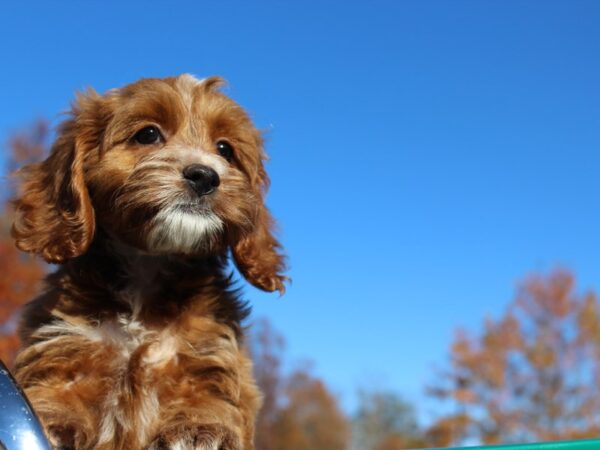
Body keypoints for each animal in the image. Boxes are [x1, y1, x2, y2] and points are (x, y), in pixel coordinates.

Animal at [10, 74, 288, 450]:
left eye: (225, 150)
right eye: (148, 134)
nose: (205, 176)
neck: (149, 265)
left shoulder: (211, 357)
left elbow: (210, 401)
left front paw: (200, 430)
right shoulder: (62, 344)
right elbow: (54, 394)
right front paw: (53, 421)